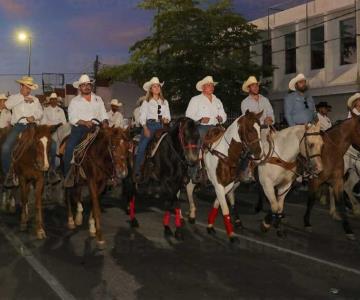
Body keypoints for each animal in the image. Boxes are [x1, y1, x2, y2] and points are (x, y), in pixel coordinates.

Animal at [187, 110, 262, 241]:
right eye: (249, 130)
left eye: (260, 128)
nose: (259, 153)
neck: (226, 154)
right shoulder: (218, 184)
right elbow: (225, 208)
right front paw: (231, 234)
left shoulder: (228, 184)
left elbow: (218, 203)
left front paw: (210, 225)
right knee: (186, 188)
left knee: (190, 188)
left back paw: (192, 214)